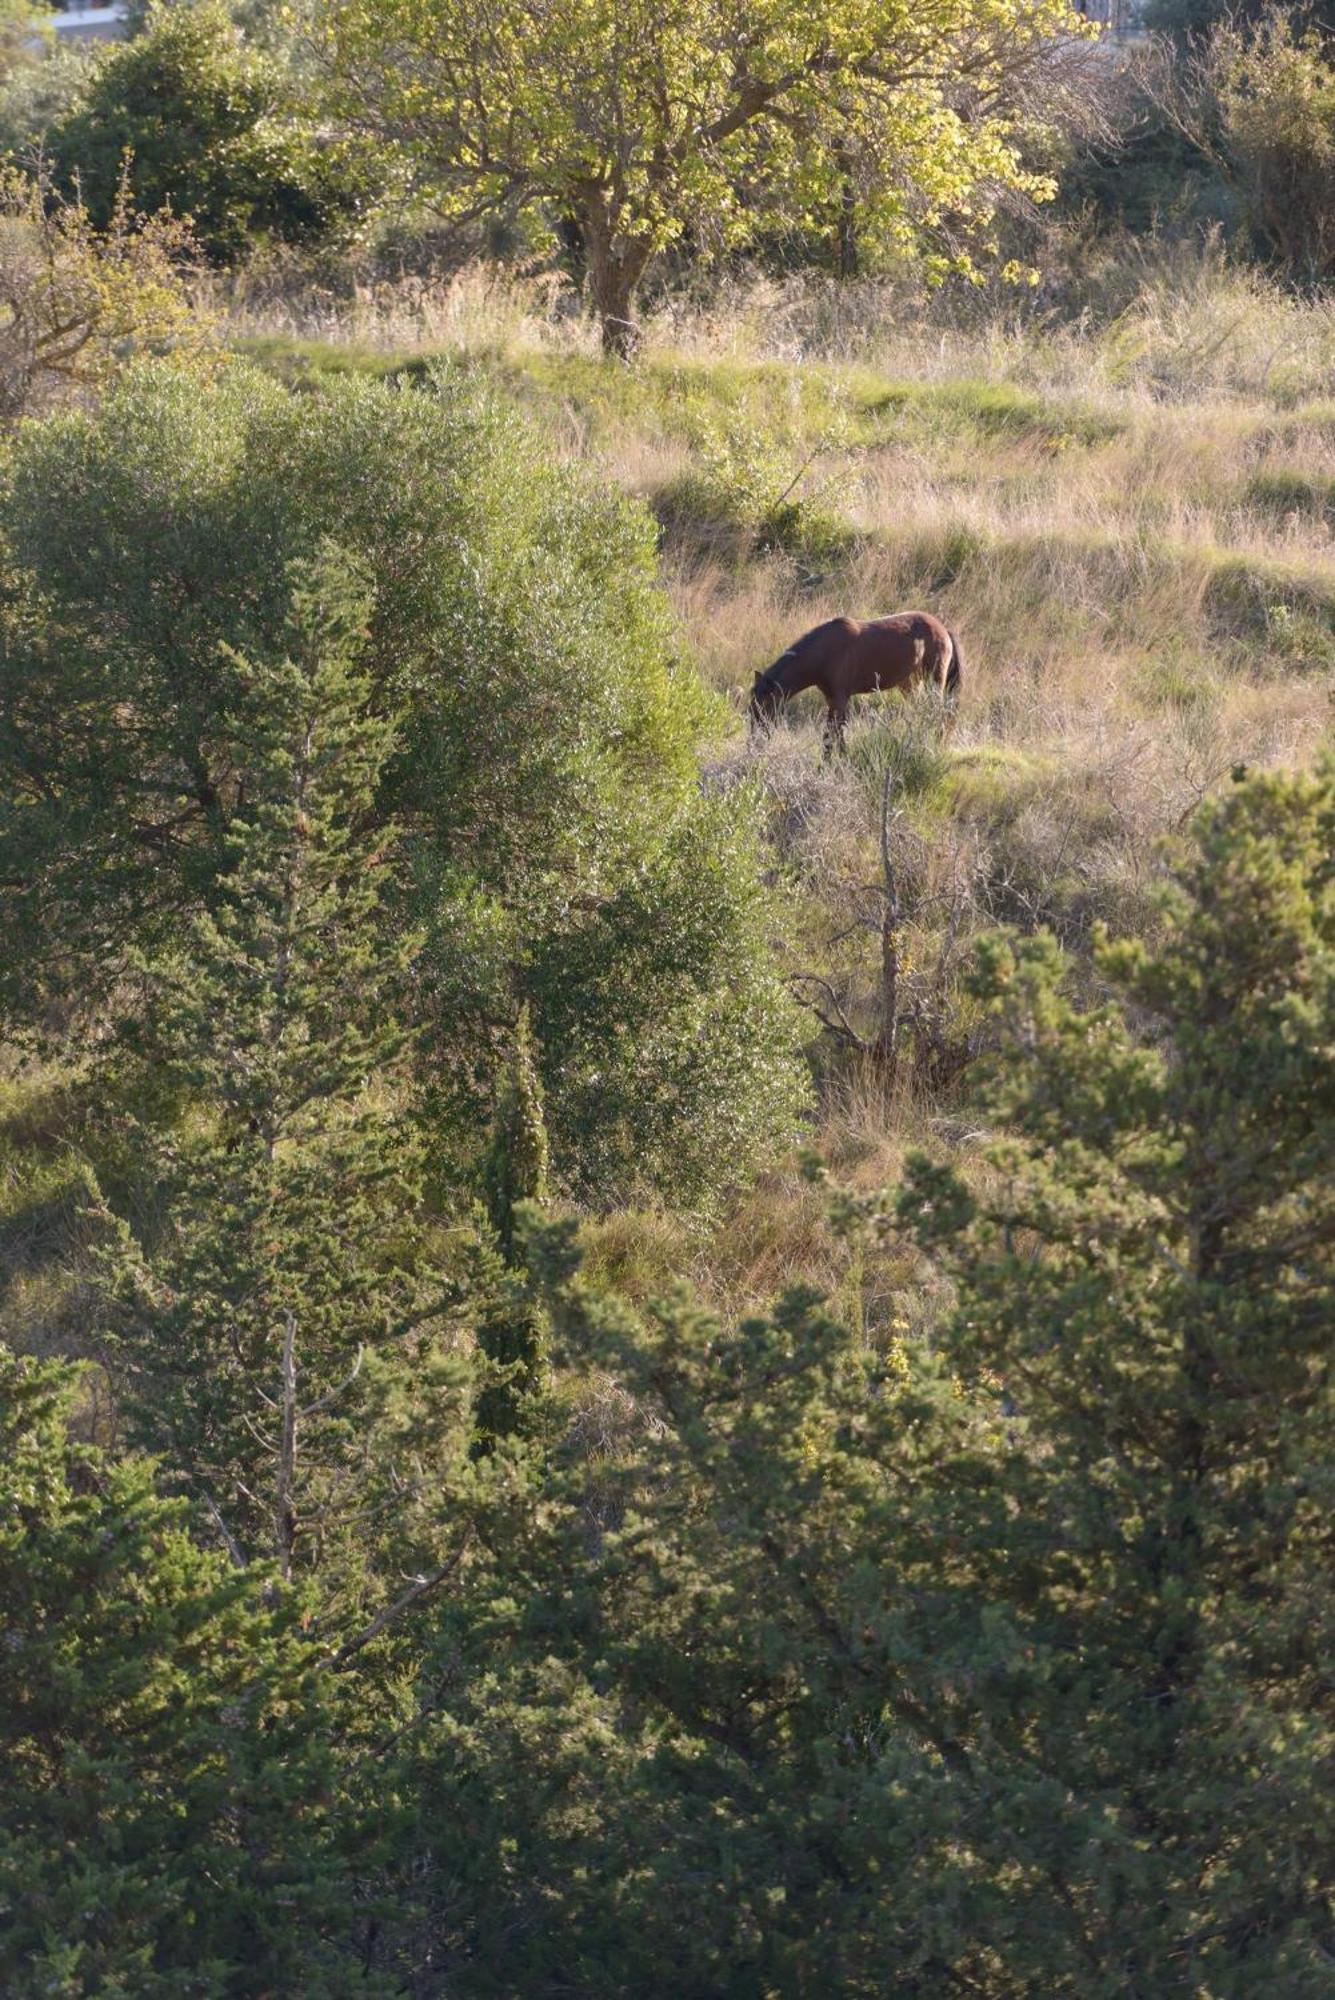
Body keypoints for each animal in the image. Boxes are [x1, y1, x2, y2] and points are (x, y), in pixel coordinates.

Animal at [751, 608, 959, 752]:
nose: (755, 738)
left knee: (938, 713)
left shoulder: (840, 699)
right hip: (910, 684)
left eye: (765, 704)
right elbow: (836, 733)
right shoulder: (832, 700)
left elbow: (831, 734)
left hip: (934, 682)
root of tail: (944, 629)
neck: (825, 652)